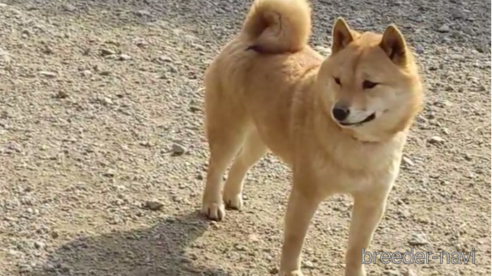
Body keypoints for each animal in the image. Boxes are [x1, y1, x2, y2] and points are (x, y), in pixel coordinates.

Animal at [199, 0, 422, 274]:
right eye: (338, 80)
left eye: (369, 84)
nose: (339, 111)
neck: (356, 145)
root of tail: (248, 36)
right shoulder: (305, 195)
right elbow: (294, 241)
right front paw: (291, 270)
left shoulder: (371, 204)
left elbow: (356, 250)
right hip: (230, 131)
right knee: (216, 167)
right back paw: (212, 203)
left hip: (262, 139)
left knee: (240, 164)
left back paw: (231, 195)